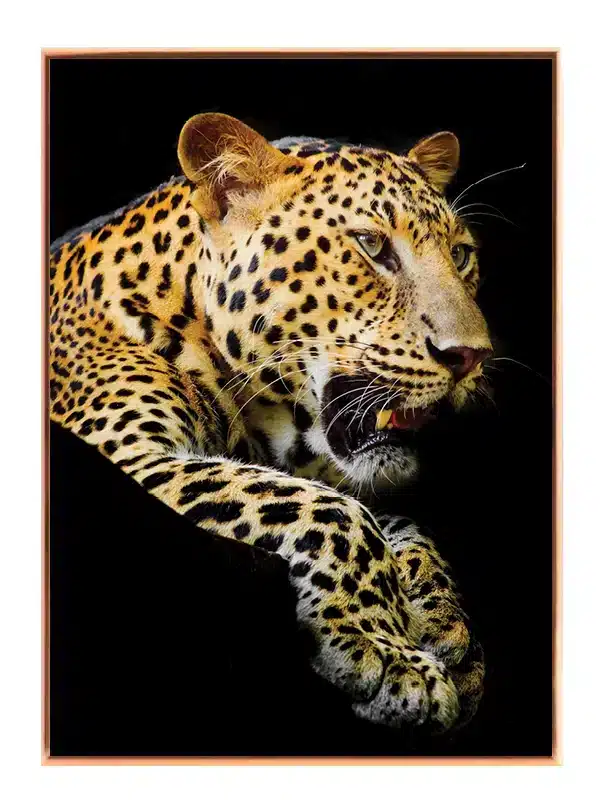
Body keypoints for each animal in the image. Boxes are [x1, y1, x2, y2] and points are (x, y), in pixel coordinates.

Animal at [49, 113, 491, 734]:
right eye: (372, 245)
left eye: (462, 255)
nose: (471, 356)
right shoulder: (130, 453)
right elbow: (334, 510)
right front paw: (389, 654)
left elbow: (398, 523)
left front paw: (446, 625)